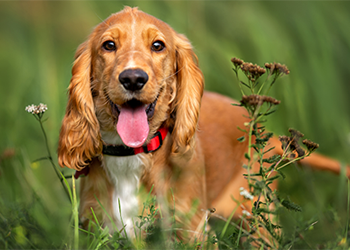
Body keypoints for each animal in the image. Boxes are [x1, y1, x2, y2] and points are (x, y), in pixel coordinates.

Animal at [57, 6, 348, 239]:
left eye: (158, 45)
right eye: (108, 45)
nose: (132, 78)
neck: (131, 155)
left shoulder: (192, 231)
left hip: (258, 221)